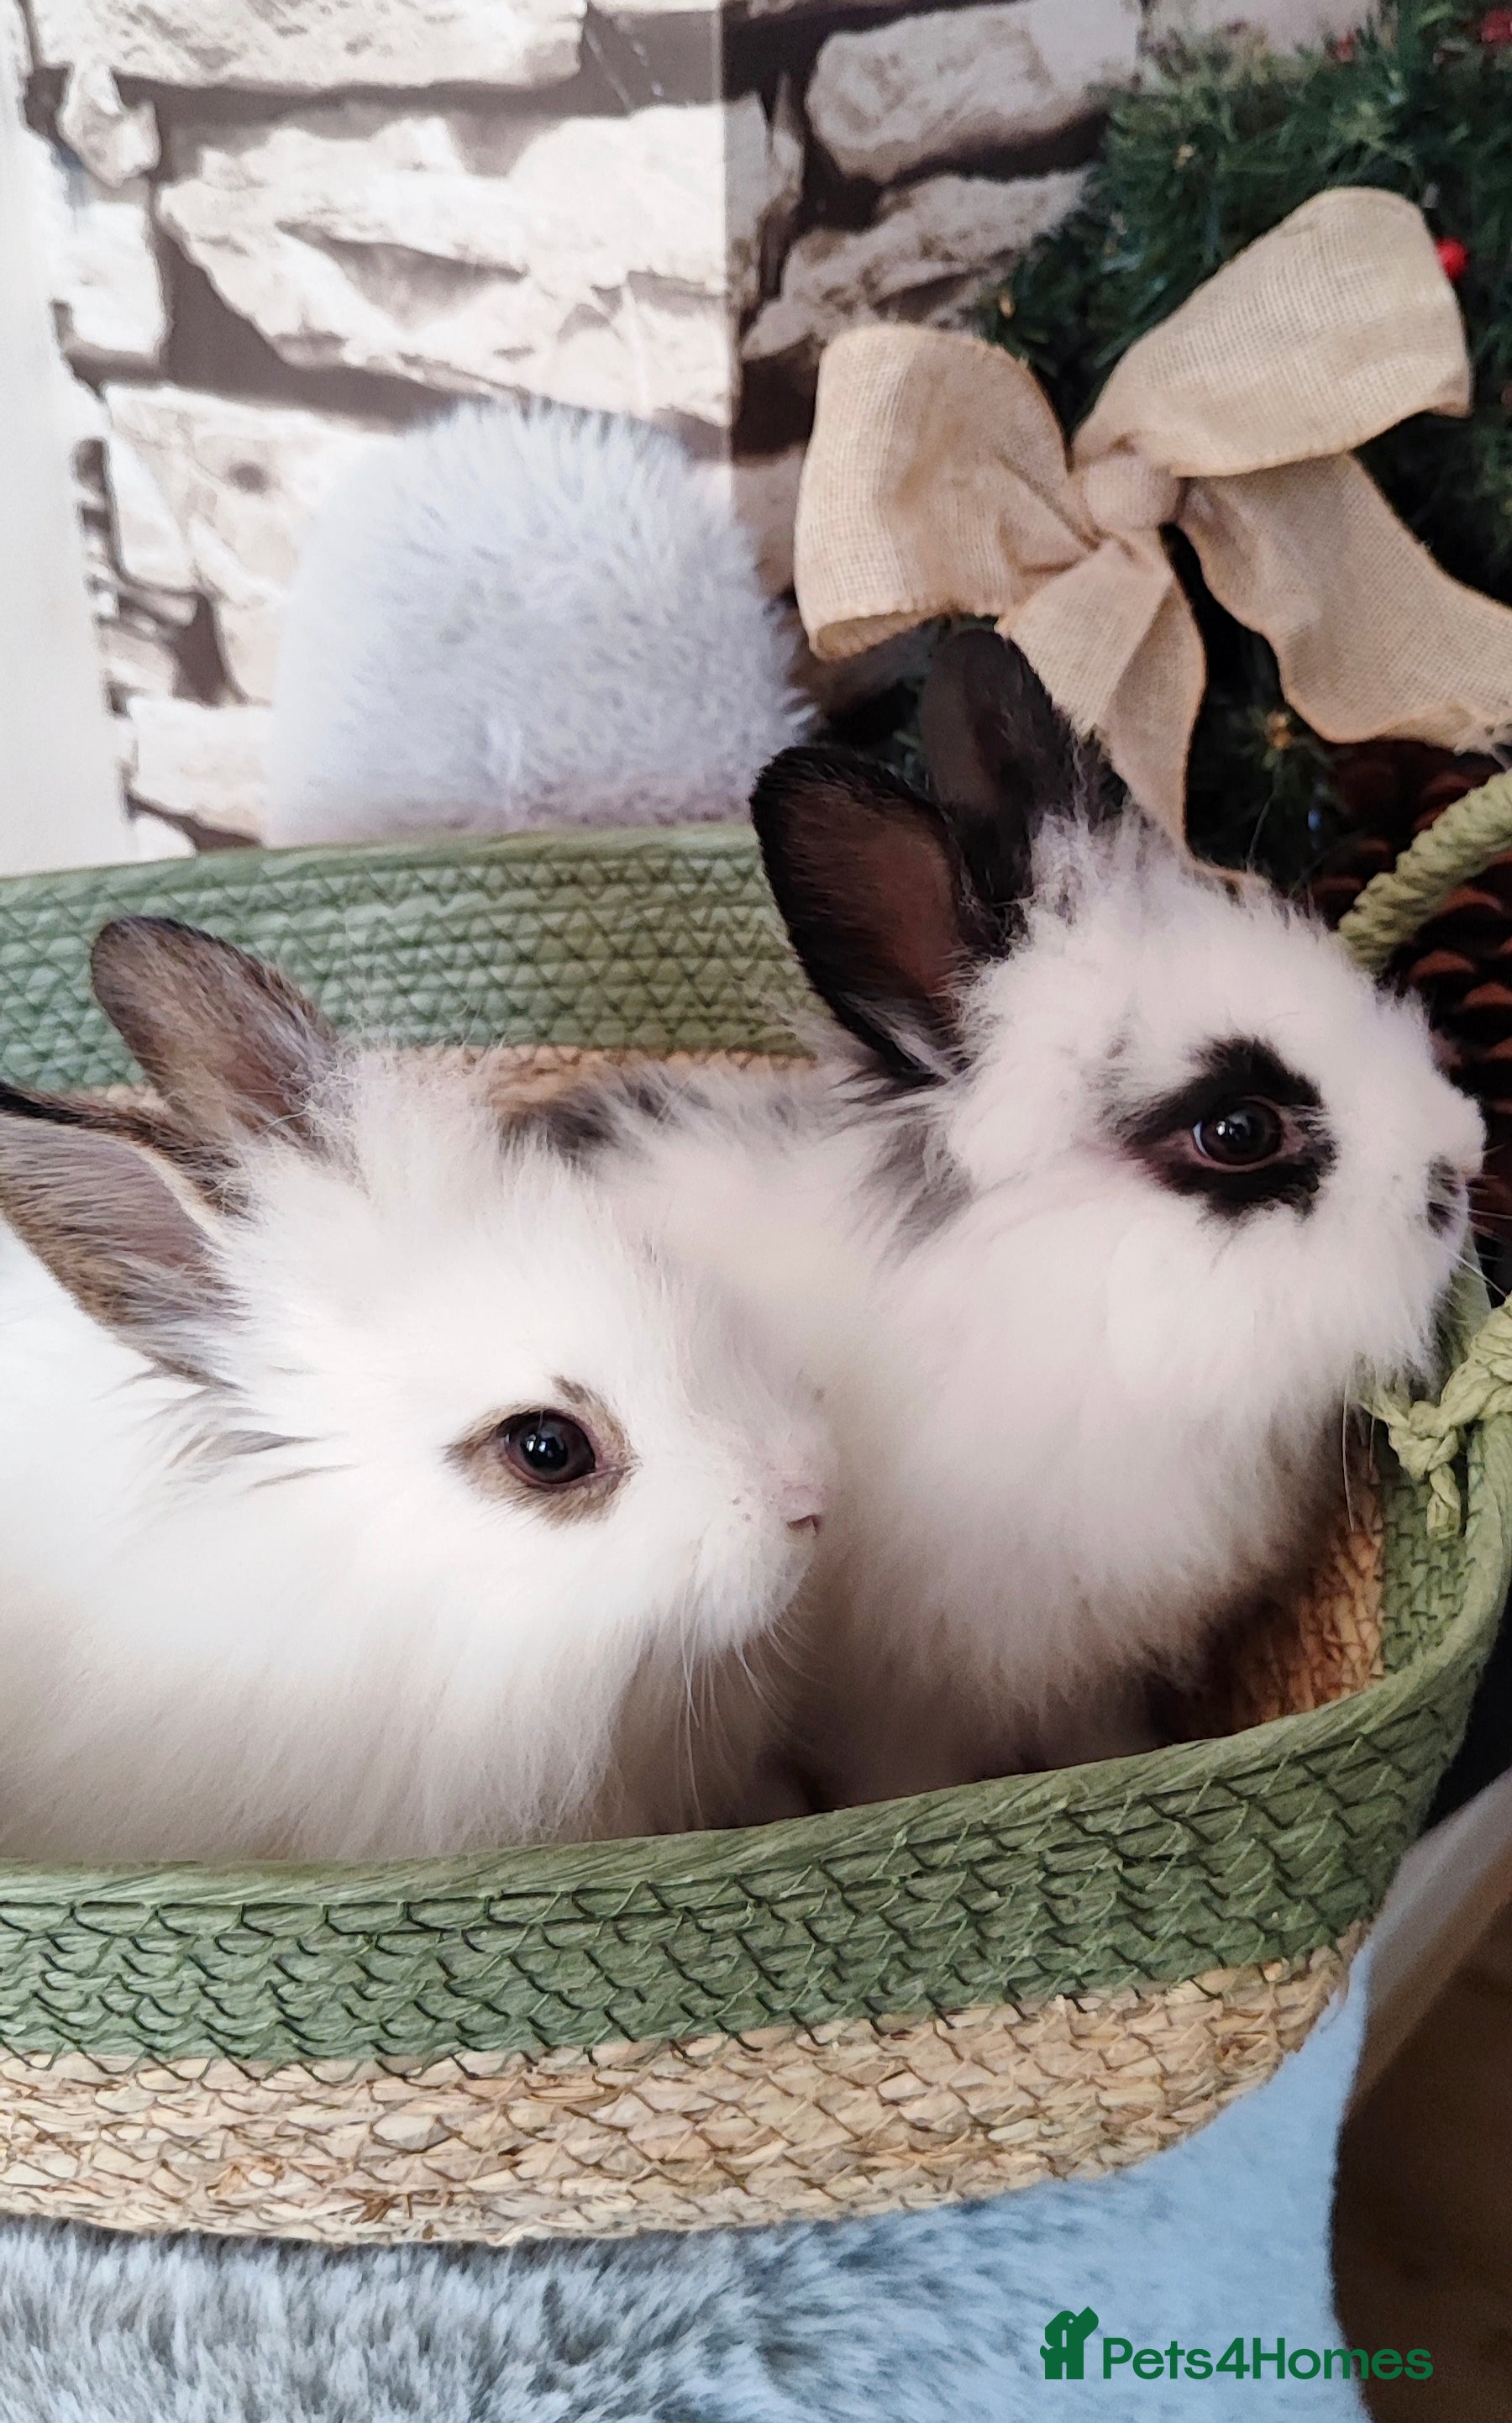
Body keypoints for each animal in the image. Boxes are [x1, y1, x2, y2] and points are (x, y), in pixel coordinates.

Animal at [533, 632, 1485, 1807]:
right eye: (1236, 1130)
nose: (1461, 1161)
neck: (1067, 1311)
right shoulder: (895, 1705)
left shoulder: (1084, 1661)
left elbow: (1100, 1738)